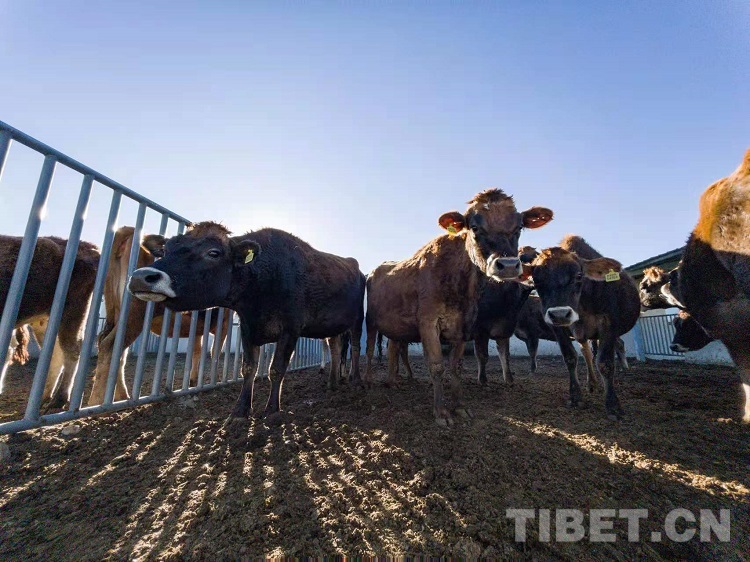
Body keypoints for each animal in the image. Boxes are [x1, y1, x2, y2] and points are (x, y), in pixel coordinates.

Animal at [0, 235, 99, 407]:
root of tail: (88, 246)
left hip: (72, 311)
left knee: (72, 350)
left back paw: (60, 399)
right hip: (46, 320)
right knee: (55, 353)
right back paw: (44, 397)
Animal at [89, 226, 232, 406]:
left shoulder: (197, 327)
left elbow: (196, 351)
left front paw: (192, 382)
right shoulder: (224, 323)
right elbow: (214, 352)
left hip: (116, 312)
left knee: (118, 352)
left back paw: (121, 396)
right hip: (135, 311)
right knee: (110, 346)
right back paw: (96, 402)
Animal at [127, 222, 366, 417]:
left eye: (213, 252)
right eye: (165, 250)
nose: (141, 277)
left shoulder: (291, 327)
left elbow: (276, 368)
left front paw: (272, 411)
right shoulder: (247, 327)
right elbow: (248, 368)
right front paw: (240, 411)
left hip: (357, 320)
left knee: (354, 348)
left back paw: (355, 380)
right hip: (333, 326)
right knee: (335, 349)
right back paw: (333, 383)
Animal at [365, 189, 553, 425]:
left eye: (519, 226)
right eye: (474, 227)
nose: (509, 265)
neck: (457, 282)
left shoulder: (465, 326)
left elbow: (457, 367)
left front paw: (460, 407)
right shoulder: (428, 323)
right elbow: (437, 366)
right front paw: (440, 412)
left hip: (396, 327)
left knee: (393, 348)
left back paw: (392, 381)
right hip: (370, 322)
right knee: (369, 350)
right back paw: (369, 381)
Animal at [525, 235, 640, 420]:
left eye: (579, 275)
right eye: (536, 280)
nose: (560, 314)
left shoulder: (608, 323)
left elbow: (605, 363)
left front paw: (613, 405)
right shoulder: (557, 327)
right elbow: (570, 358)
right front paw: (575, 396)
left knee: (614, 347)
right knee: (587, 352)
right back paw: (592, 383)